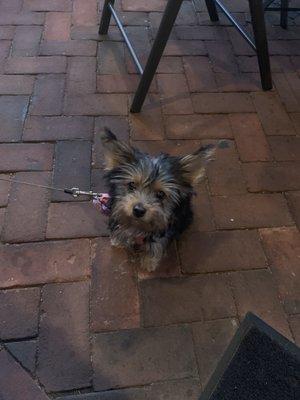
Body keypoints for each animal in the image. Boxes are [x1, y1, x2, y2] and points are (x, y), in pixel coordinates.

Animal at [101, 128, 216, 272]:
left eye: (161, 194)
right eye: (131, 185)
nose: (138, 210)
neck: (138, 226)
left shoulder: (162, 235)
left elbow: (155, 248)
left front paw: (148, 263)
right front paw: (118, 241)